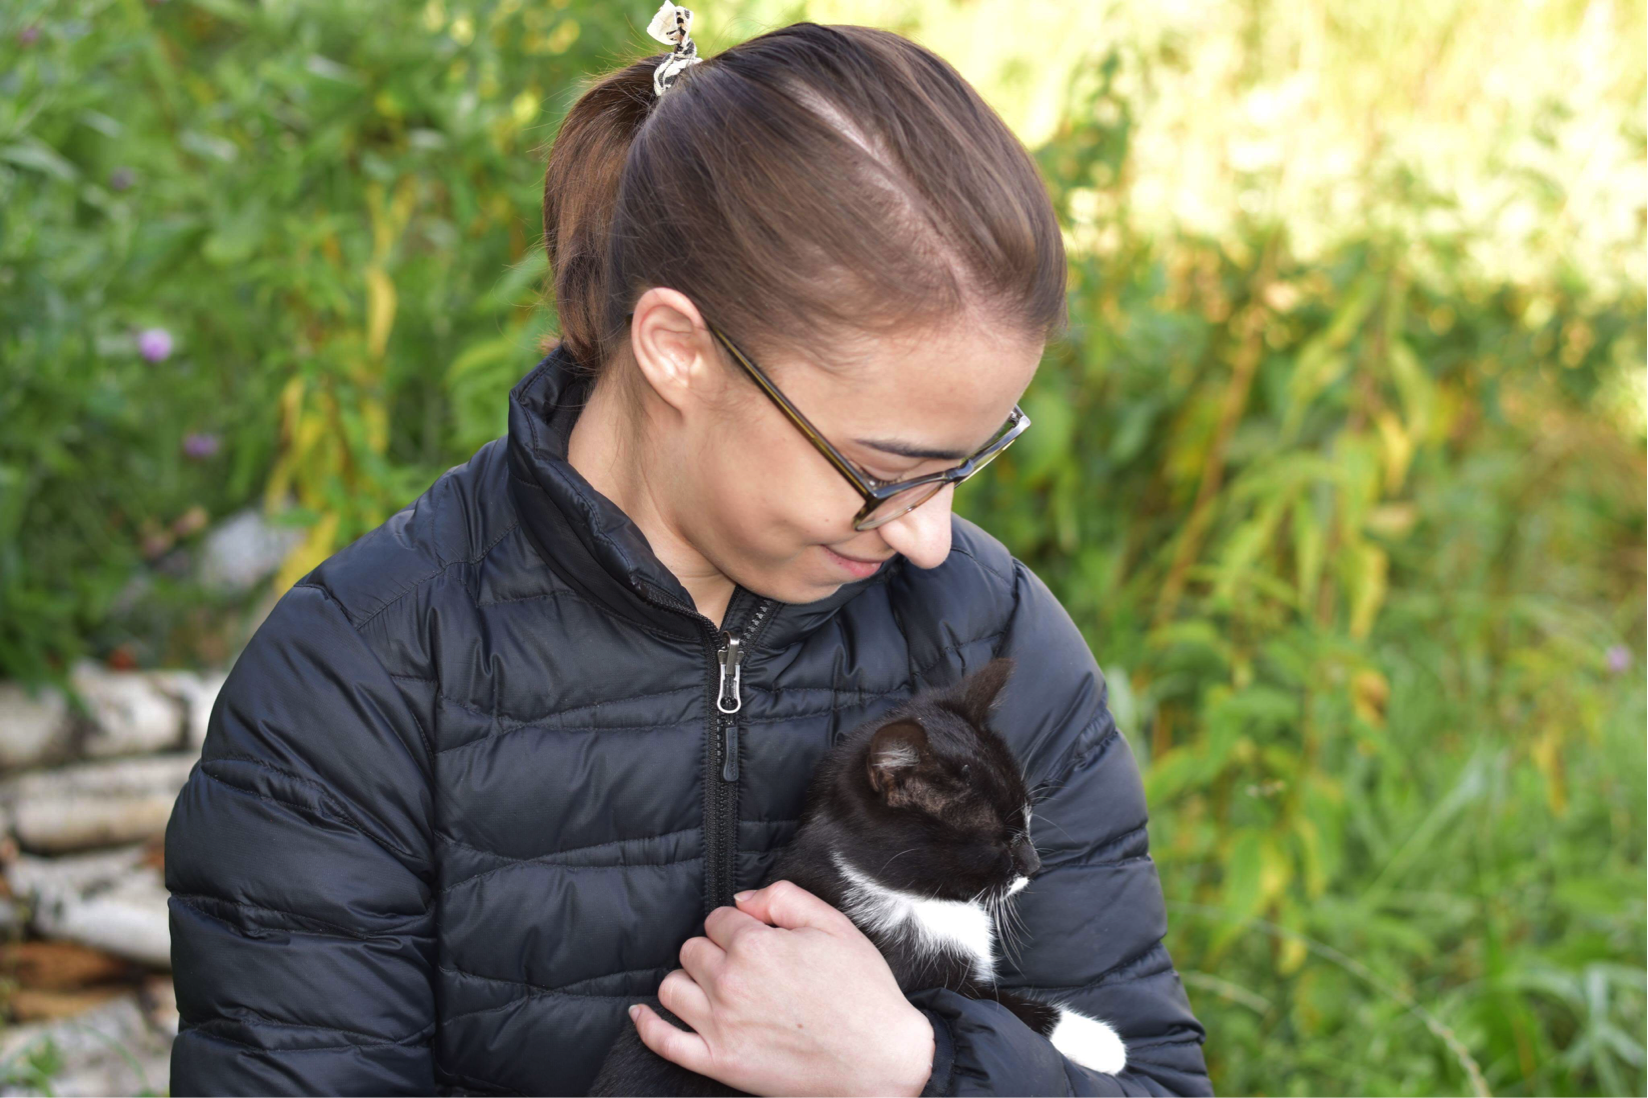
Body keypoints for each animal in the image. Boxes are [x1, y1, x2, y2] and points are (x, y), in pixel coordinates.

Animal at [586, 652, 1127, 1088]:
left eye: (1028, 821)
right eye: (1001, 838)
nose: (1035, 864)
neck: (906, 895)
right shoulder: (918, 980)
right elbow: (999, 1006)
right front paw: (1101, 1041)